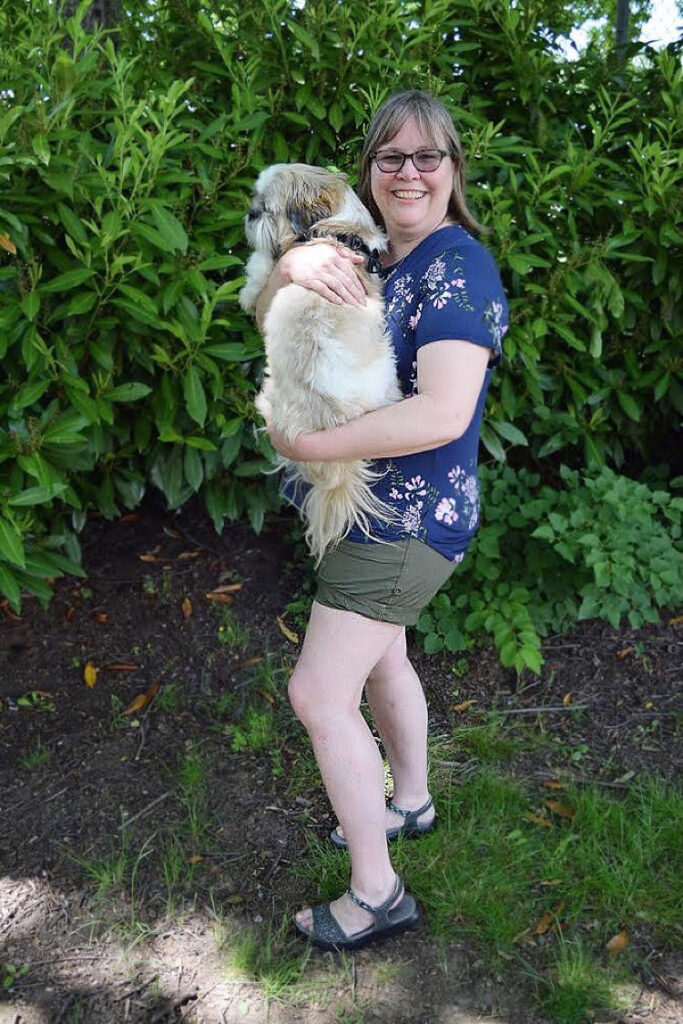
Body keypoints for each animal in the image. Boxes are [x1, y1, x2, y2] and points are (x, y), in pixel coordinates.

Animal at [239, 166, 403, 565]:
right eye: (255, 202)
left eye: (266, 209)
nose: (250, 213)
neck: (337, 230)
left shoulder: (285, 255)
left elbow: (260, 265)